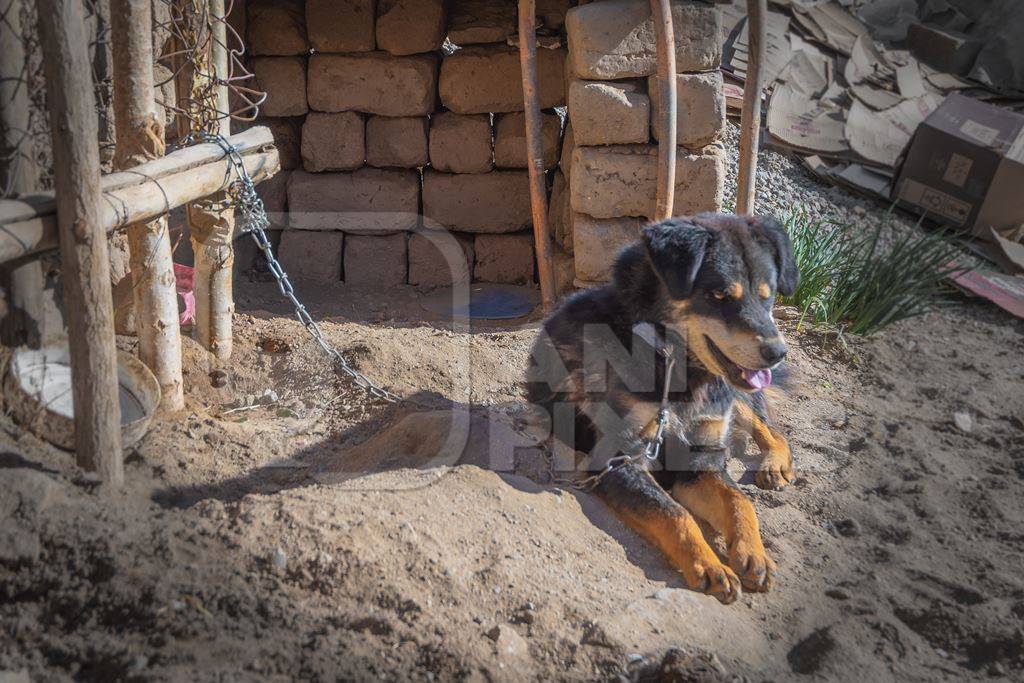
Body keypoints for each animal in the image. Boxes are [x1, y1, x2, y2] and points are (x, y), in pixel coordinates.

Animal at [528, 211, 798, 602]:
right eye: (719, 295)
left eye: (768, 296)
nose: (777, 353)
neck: (673, 367)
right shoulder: (619, 460)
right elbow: (674, 513)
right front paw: (710, 565)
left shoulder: (700, 458)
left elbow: (739, 501)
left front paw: (753, 553)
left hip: (735, 396)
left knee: (771, 428)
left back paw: (774, 463)